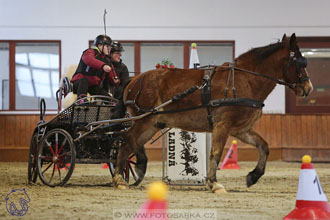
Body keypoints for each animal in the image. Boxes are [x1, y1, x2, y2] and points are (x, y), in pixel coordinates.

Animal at [114, 32, 314, 192]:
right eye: (299, 61)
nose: (308, 88)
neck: (245, 80)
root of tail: (134, 80)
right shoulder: (223, 125)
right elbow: (216, 153)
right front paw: (213, 183)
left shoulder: (240, 129)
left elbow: (263, 146)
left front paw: (253, 176)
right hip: (144, 120)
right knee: (127, 141)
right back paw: (121, 177)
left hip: (152, 123)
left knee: (131, 143)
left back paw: (131, 171)